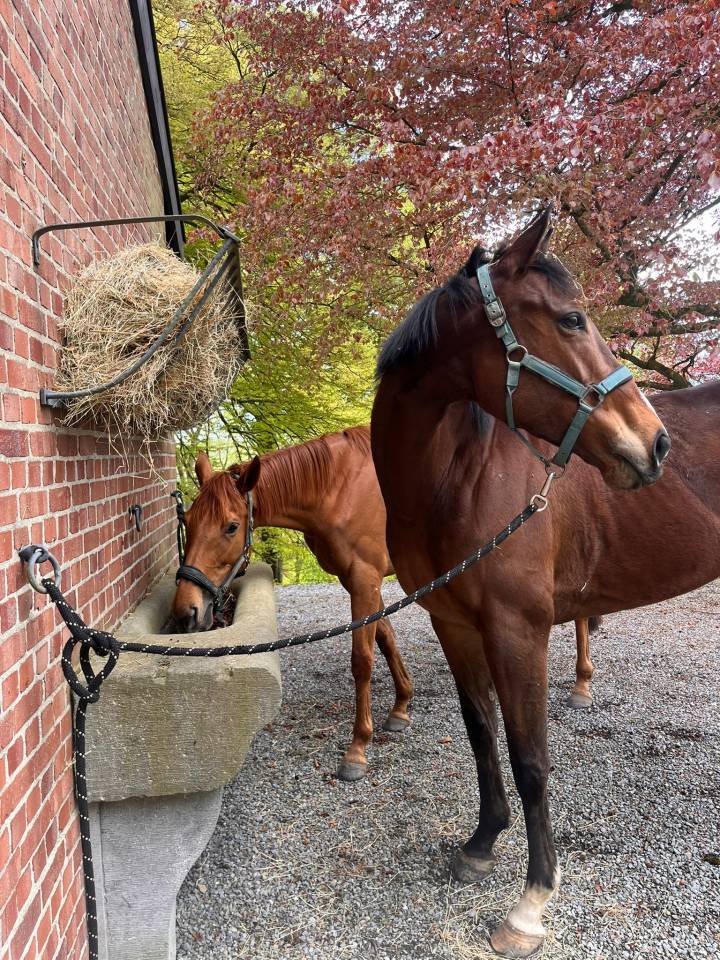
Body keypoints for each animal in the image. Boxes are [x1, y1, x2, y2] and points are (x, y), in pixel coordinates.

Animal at [170, 428, 415, 782]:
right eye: (187, 521)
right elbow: (386, 639)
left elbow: (362, 660)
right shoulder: (359, 582)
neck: (341, 488)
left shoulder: (365, 581)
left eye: (231, 526)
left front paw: (358, 747)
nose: (186, 611)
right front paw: (401, 705)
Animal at [371, 207, 670, 958]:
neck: (457, 479)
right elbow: (483, 734)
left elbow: (531, 757)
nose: (656, 444)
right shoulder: (454, 624)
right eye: (571, 320)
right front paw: (481, 844)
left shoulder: (520, 630)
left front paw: (532, 901)